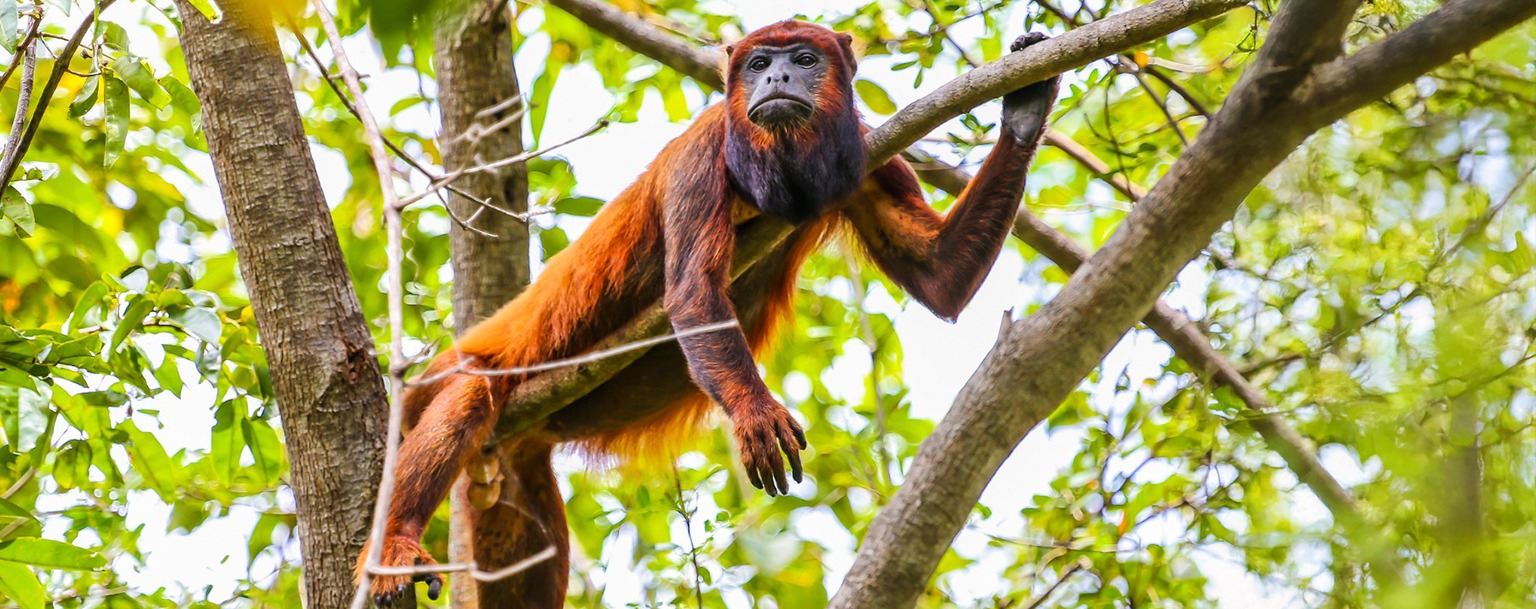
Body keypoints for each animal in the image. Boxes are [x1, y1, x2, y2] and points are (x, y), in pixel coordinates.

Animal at [362, 20, 1056, 609]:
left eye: (805, 60)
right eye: (757, 64)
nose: (777, 79)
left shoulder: (867, 157)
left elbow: (939, 276)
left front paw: (1026, 106)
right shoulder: (702, 152)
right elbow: (693, 292)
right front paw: (754, 411)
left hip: (514, 463)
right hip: (460, 375)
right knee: (467, 396)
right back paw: (395, 545)